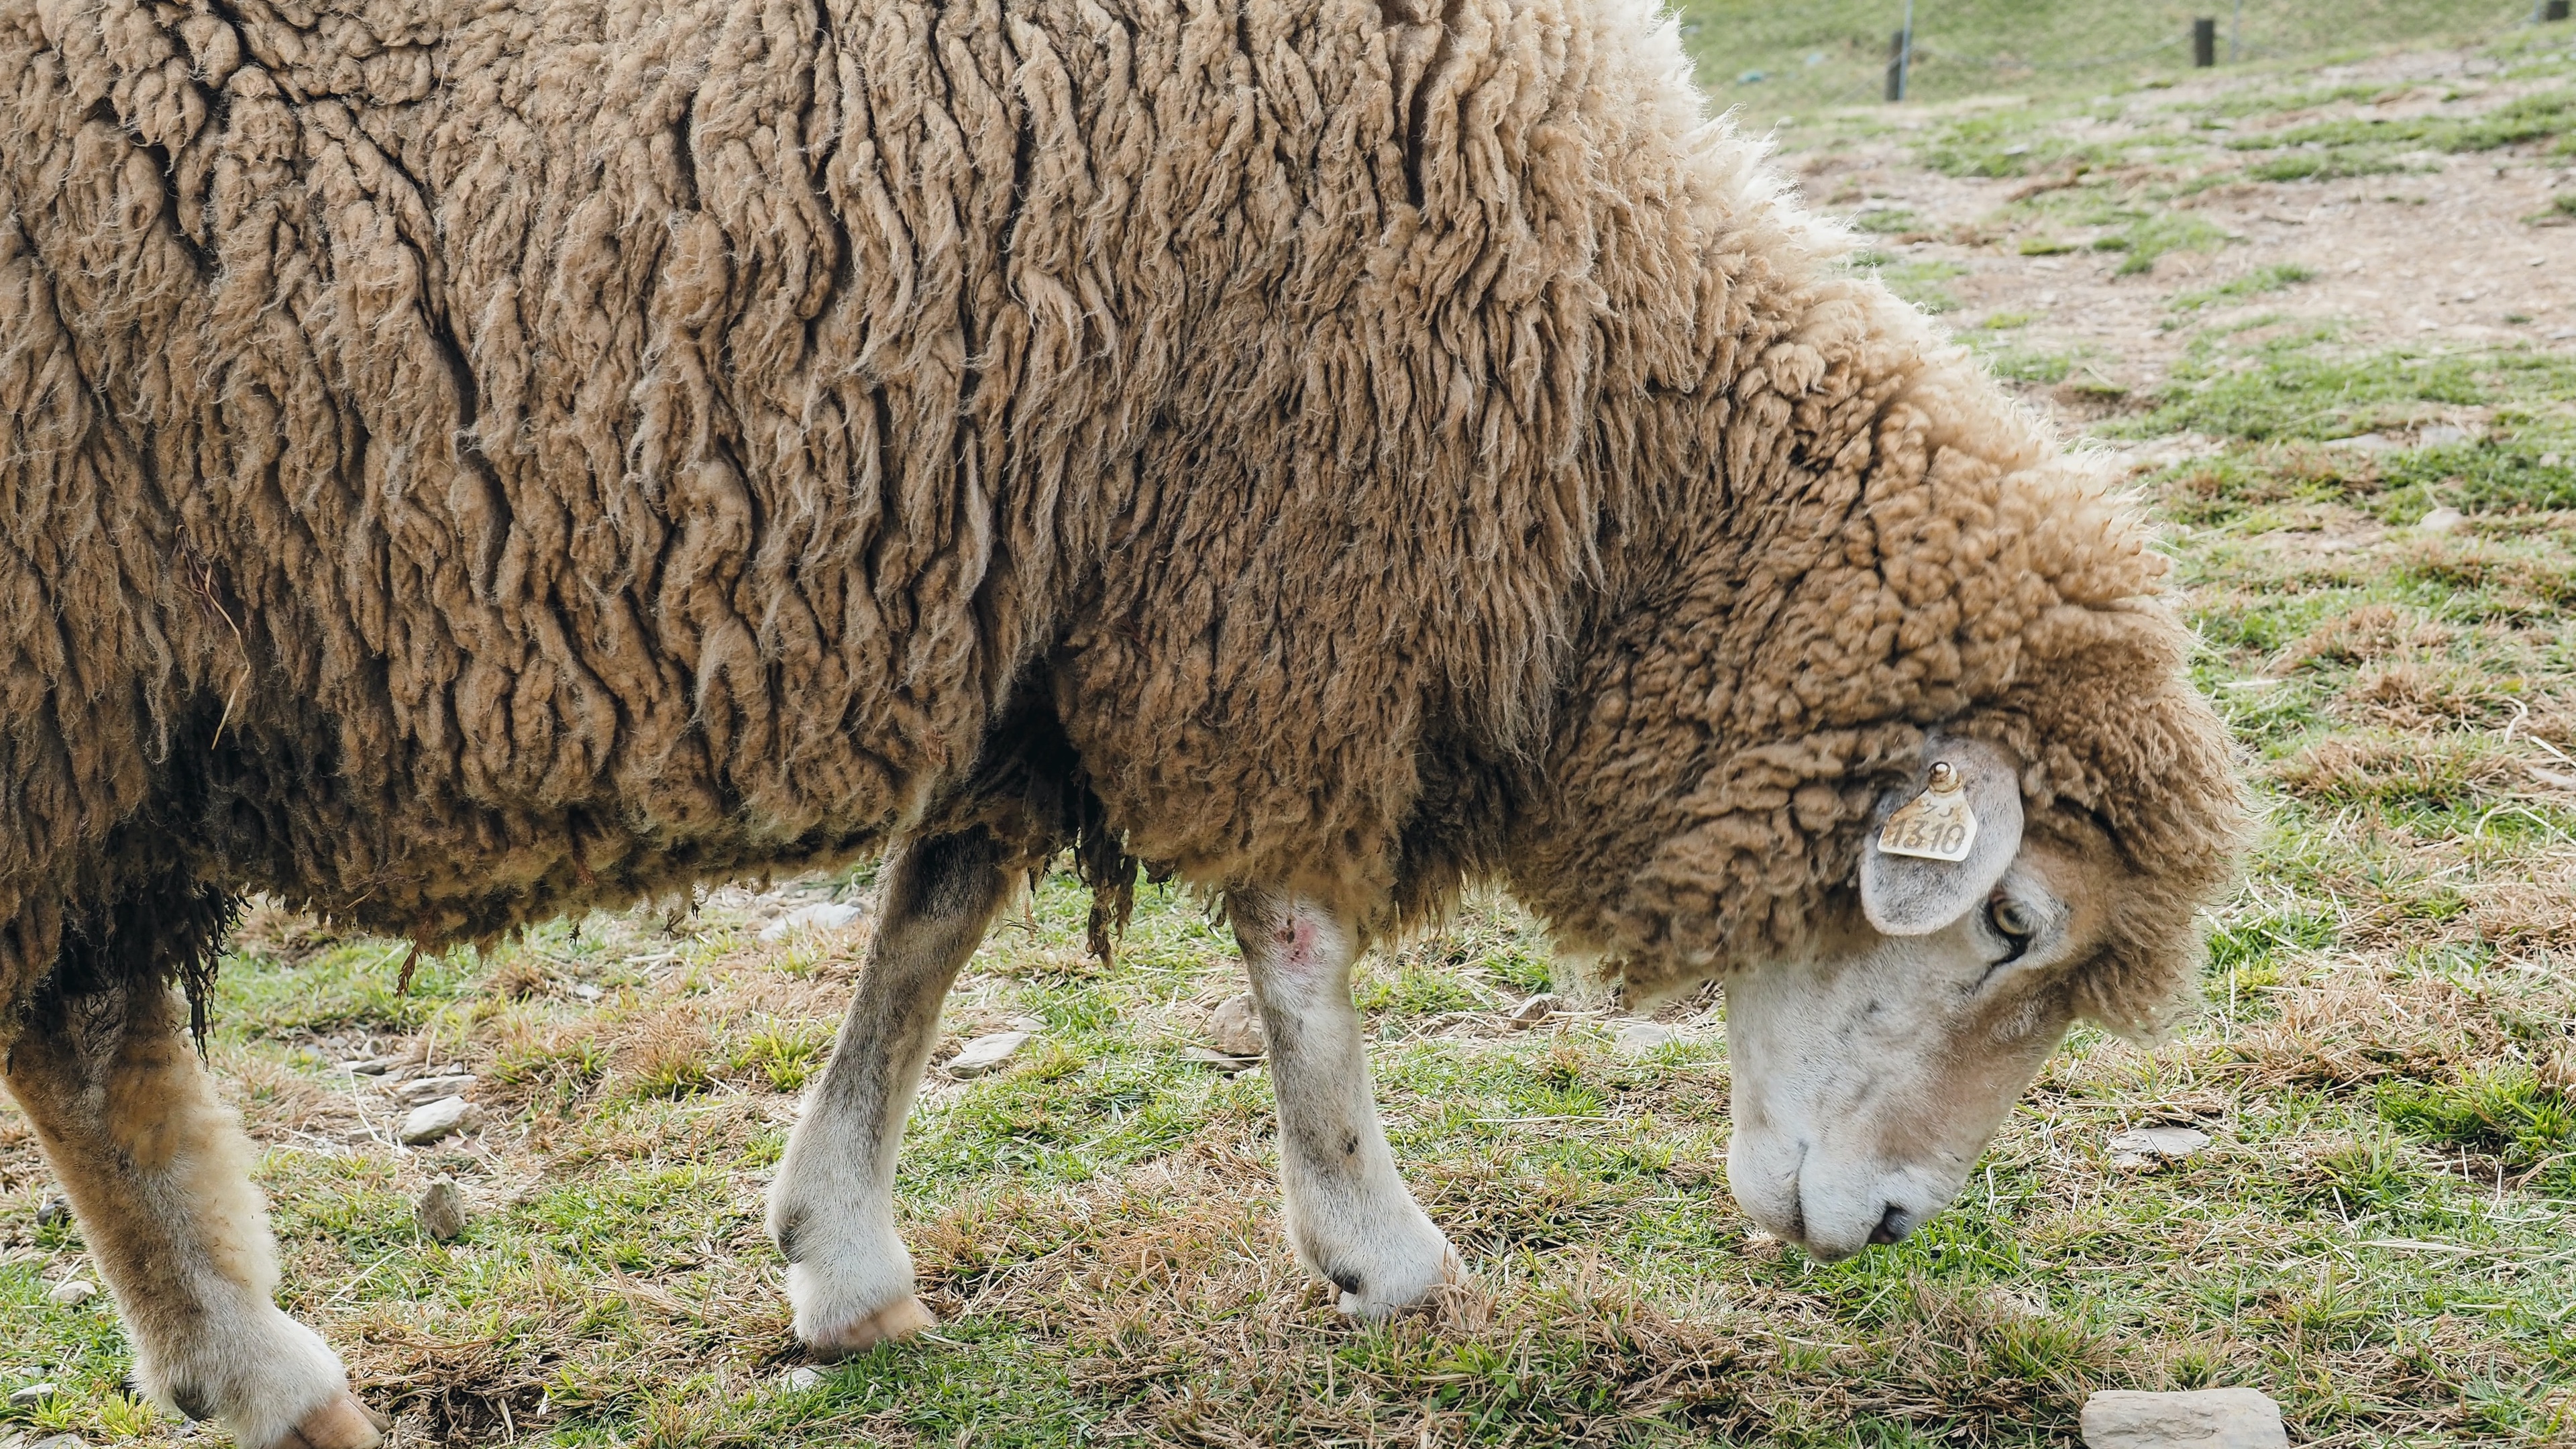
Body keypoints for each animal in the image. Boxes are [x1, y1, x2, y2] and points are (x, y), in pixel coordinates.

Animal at [0, 0, 2246, 1433]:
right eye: (2010, 925)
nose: (1885, 1232)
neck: (1609, 414)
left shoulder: (1054, 605)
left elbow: (930, 925)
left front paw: (839, 1257)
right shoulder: (1278, 579)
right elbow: (1299, 957)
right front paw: (1383, 1254)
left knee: (78, 1025)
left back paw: (229, 1365)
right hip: (70, 628)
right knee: (89, 1032)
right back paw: (256, 1371)